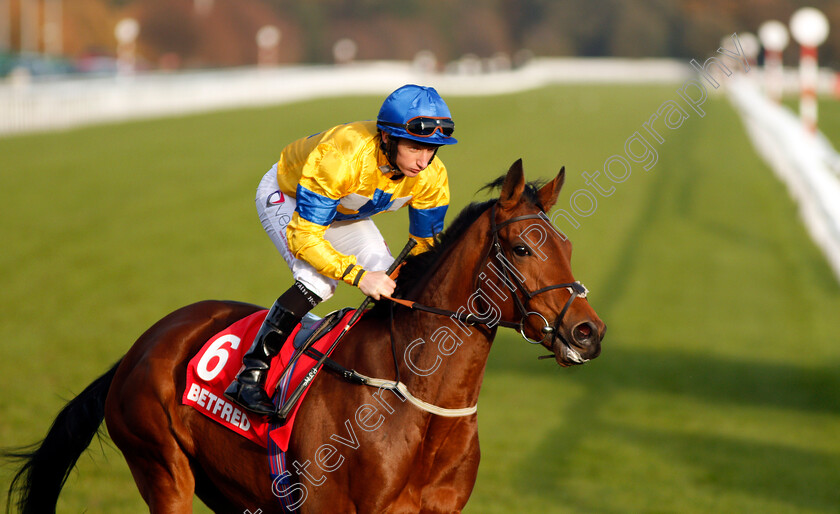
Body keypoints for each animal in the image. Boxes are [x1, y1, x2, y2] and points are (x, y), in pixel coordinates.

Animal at [1, 158, 604, 510]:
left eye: (567, 246)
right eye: (522, 248)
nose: (588, 331)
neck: (416, 399)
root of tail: (137, 349)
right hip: (163, 471)